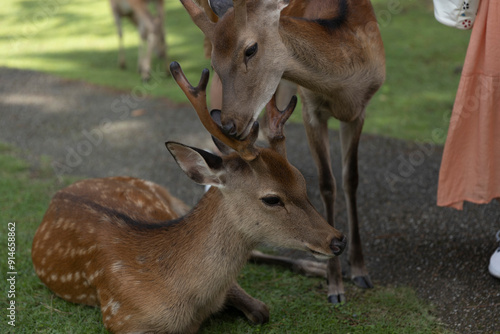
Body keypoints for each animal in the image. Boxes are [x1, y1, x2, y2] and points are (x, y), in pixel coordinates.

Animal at [30, 63, 344, 334]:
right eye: (271, 198)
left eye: (302, 181)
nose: (337, 240)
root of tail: (60, 193)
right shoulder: (119, 317)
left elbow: (261, 310)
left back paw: (319, 270)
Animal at [181, 0, 386, 304]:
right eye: (215, 63)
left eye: (250, 49)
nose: (229, 124)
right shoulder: (311, 108)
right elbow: (327, 183)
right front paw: (335, 285)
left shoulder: (359, 112)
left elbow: (351, 179)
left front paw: (360, 271)